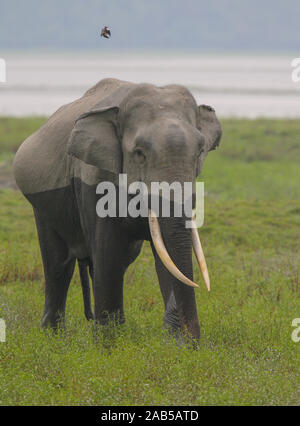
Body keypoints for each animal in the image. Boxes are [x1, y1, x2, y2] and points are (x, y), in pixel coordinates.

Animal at [13, 78, 220, 342]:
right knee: (58, 265)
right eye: (139, 153)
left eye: (200, 151)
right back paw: (53, 336)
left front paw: (176, 343)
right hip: (43, 204)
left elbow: (164, 256)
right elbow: (108, 251)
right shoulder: (94, 179)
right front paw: (109, 343)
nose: (193, 342)